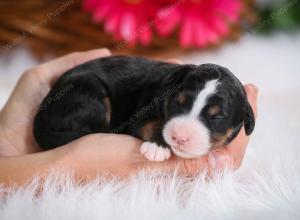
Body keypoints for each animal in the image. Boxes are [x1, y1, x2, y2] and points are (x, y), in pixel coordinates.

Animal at [34, 55, 254, 162]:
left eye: (216, 117)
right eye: (178, 102)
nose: (180, 137)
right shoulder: (141, 113)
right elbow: (149, 124)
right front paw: (158, 147)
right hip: (88, 90)